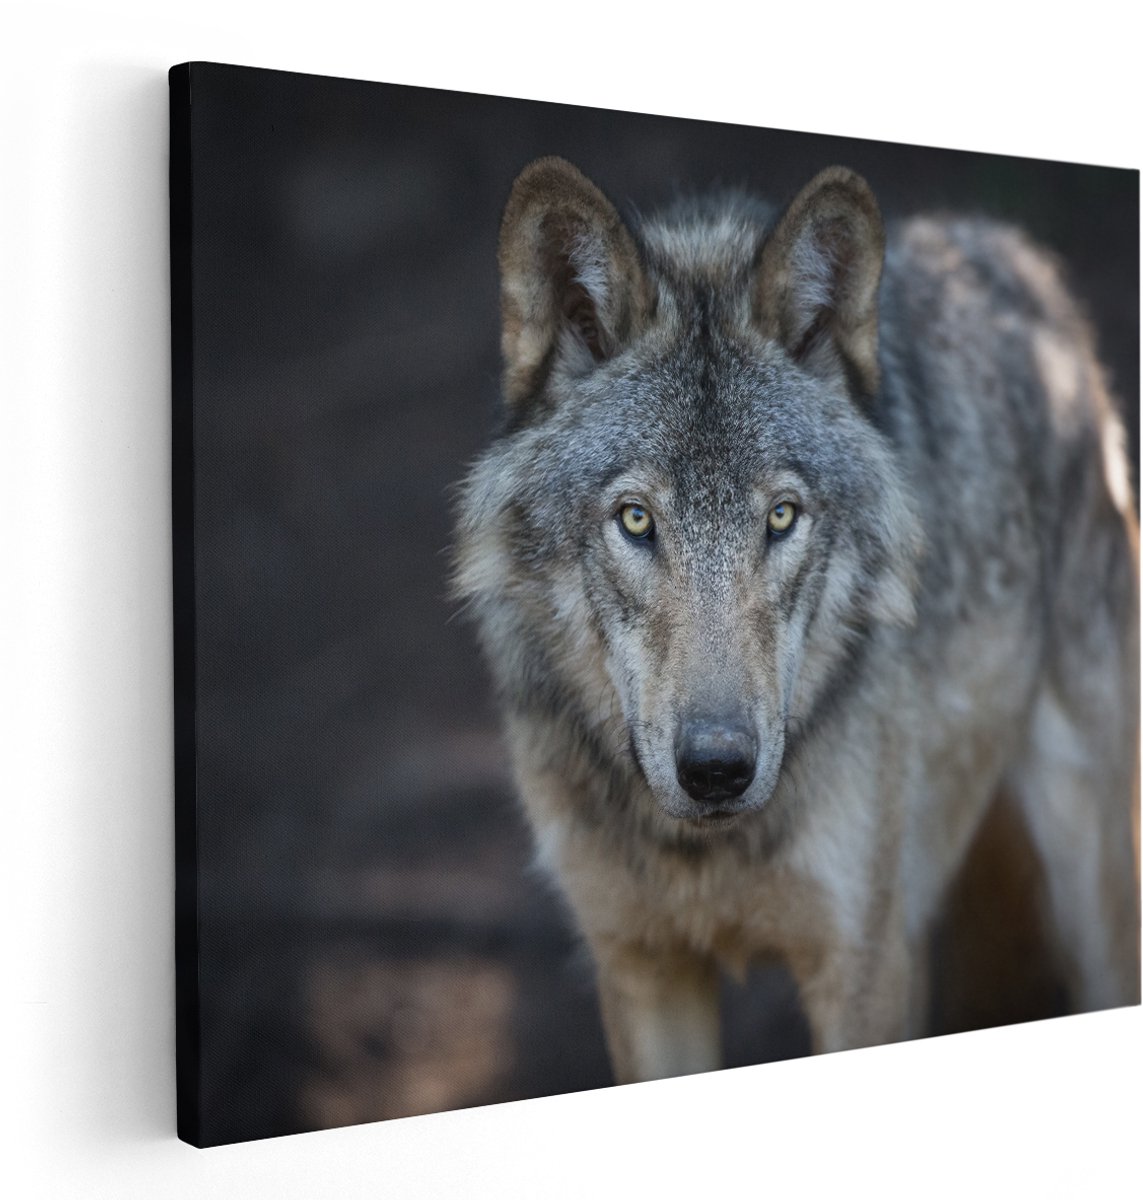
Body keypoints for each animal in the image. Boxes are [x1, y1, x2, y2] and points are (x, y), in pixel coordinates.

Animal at [453, 156, 1141, 1083]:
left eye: (780, 517)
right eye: (635, 520)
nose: (716, 769)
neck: (703, 852)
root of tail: (1005, 251)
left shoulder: (860, 963)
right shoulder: (641, 969)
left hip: (1084, 882)